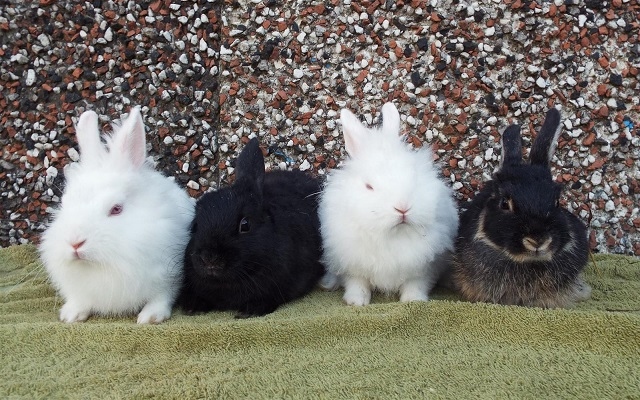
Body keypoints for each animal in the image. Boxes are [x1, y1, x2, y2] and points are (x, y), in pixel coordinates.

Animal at [39, 107, 195, 324]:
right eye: (64, 203)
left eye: (116, 209)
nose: (75, 243)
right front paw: (71, 315)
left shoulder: (167, 273)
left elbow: (162, 297)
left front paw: (150, 317)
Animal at [320, 103, 460, 306]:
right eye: (369, 186)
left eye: (414, 176)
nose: (402, 208)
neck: (392, 235)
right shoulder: (352, 264)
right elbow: (357, 283)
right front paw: (356, 302)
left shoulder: (423, 267)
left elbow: (416, 284)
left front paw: (413, 301)